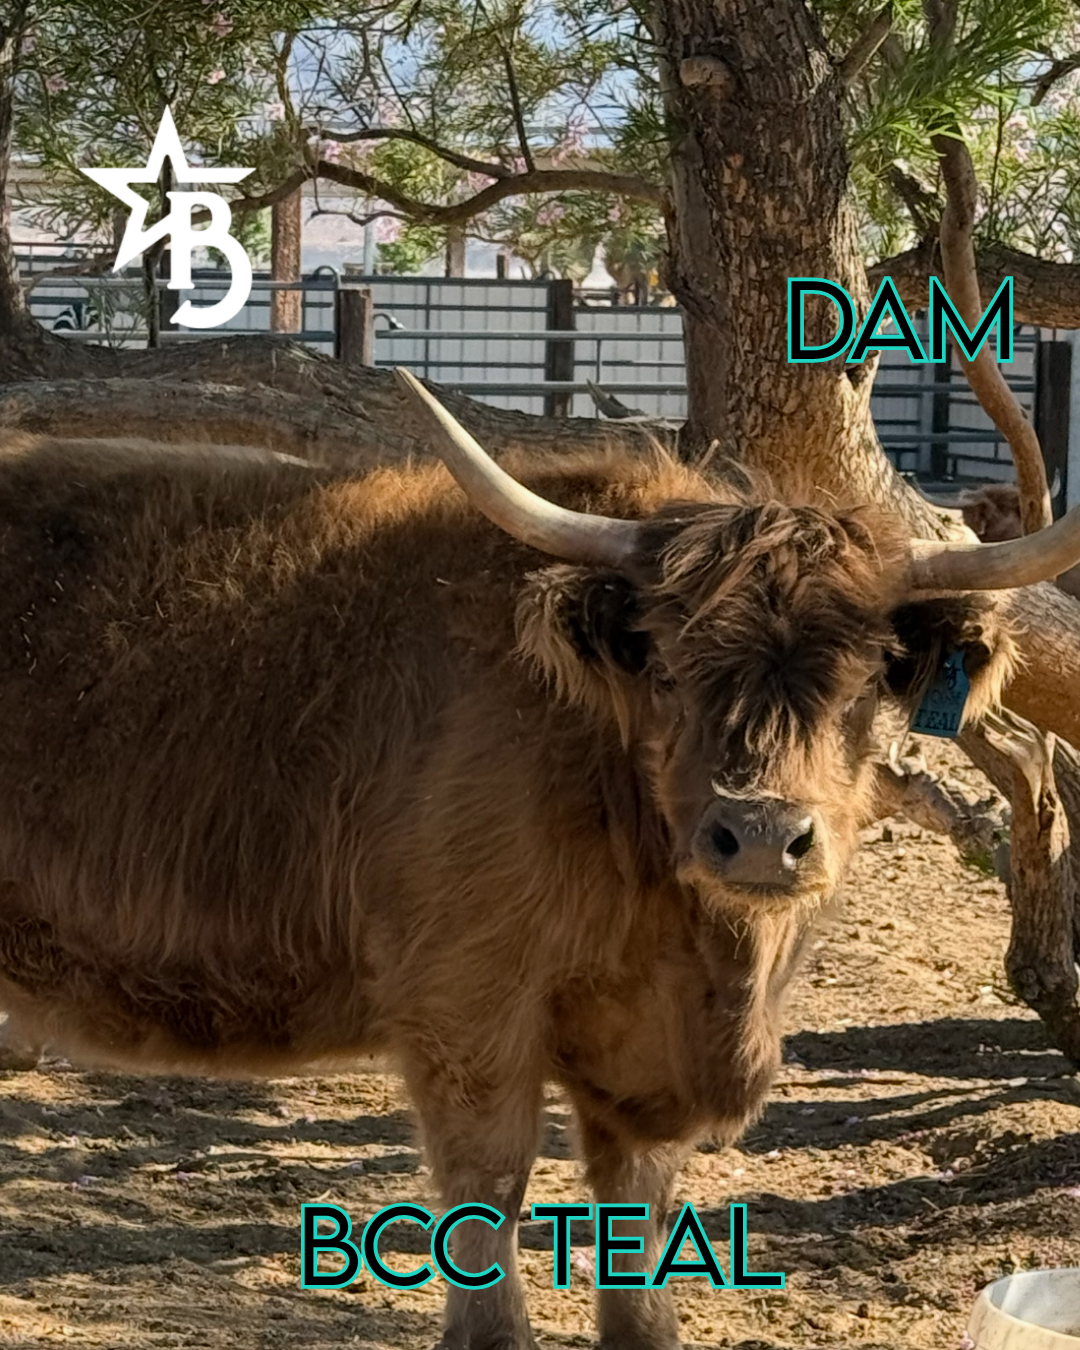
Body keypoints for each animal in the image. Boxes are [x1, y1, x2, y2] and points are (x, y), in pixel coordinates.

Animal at [1, 367, 1079, 1350]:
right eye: (670, 670)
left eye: (867, 678)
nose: (762, 834)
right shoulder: (465, 1009)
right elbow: (490, 1208)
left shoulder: (638, 1080)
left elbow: (637, 1250)